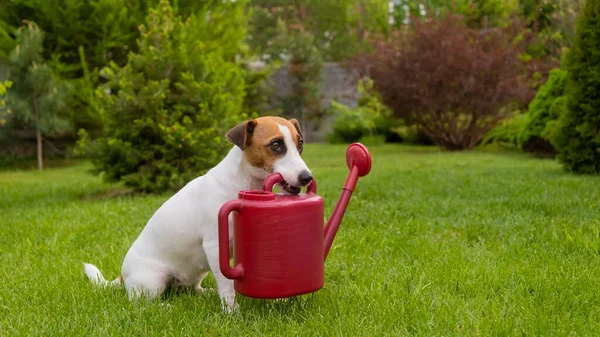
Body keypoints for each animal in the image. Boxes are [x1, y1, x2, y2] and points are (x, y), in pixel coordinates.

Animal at [84, 117, 314, 312]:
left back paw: (205, 294)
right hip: (153, 279)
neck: (241, 181)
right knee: (140, 304)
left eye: (300, 143)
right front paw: (232, 312)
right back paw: (165, 307)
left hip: (195, 274)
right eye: (276, 144)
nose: (307, 177)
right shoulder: (215, 247)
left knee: (192, 290)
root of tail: (122, 277)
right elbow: (226, 284)